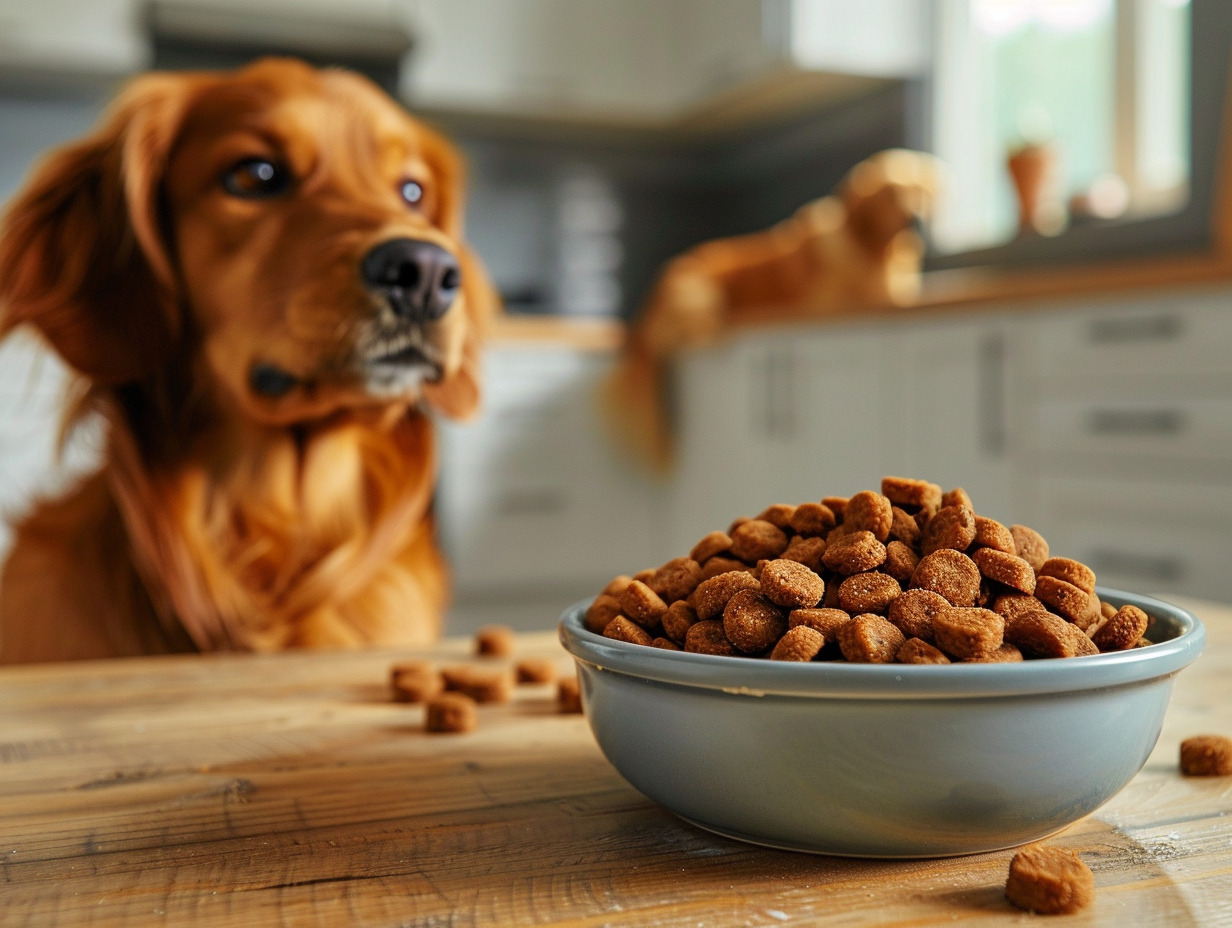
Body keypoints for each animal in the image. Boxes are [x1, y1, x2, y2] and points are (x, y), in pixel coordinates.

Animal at [603, 150, 931, 470]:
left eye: (920, 194)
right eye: (890, 196)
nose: (916, 220)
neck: (873, 252)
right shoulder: (829, 299)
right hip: (700, 295)